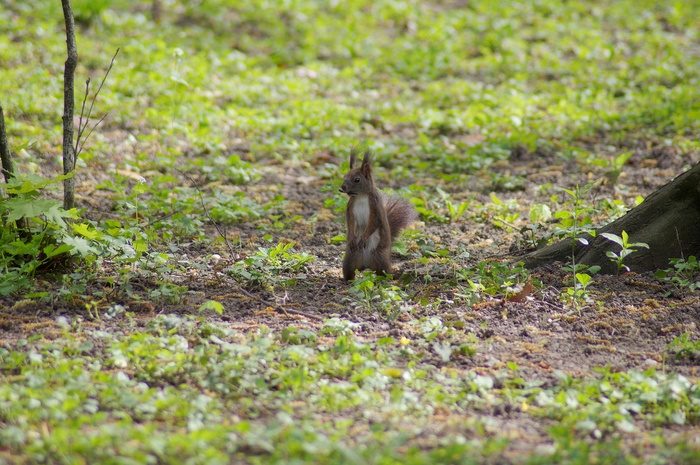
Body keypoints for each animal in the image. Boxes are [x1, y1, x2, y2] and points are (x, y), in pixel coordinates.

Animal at [338, 148, 416, 280]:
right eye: (345, 176)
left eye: (357, 179)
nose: (343, 187)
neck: (361, 196)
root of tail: (366, 265)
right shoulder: (350, 209)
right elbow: (350, 222)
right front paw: (352, 237)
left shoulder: (376, 207)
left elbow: (374, 223)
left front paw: (364, 238)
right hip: (350, 258)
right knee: (350, 271)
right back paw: (348, 280)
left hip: (381, 257)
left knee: (384, 273)